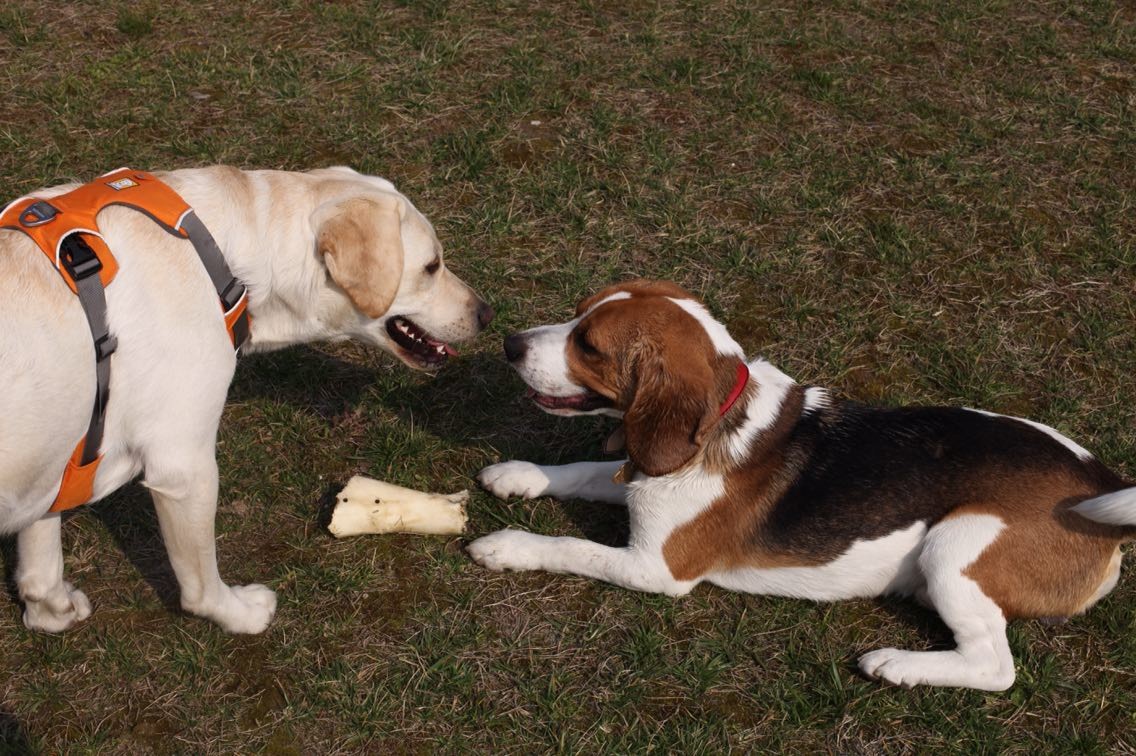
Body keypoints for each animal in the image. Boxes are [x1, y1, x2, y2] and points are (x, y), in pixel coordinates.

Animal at [3, 164, 493, 632]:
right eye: (432, 266)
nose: (488, 314)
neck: (222, 260)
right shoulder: (184, 467)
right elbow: (200, 584)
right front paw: (239, 616)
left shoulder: (61, 459)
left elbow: (39, 564)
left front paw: (51, 613)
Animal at [465, 278, 1131, 691]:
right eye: (579, 310)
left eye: (589, 346)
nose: (508, 343)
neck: (720, 417)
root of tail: (1096, 483)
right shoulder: (640, 479)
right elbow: (582, 471)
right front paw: (518, 474)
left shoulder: (657, 566)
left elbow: (572, 548)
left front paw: (507, 545)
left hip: (957, 543)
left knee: (995, 667)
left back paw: (898, 665)